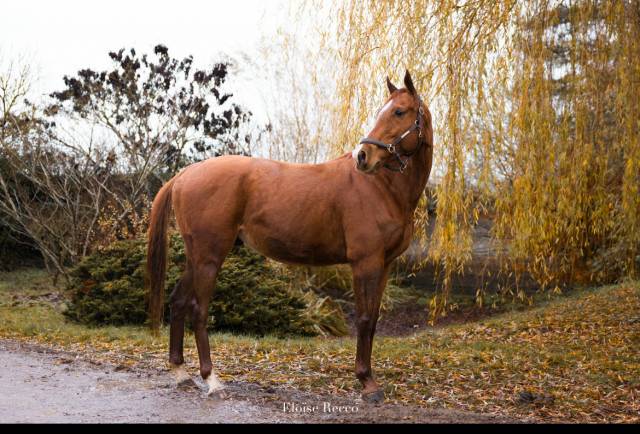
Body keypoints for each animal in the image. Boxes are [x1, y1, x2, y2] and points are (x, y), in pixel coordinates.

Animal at [146, 70, 434, 403]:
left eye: (399, 112)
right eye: (384, 112)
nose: (363, 156)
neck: (382, 188)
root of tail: (184, 175)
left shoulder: (384, 265)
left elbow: (372, 319)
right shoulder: (365, 263)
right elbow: (363, 319)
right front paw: (368, 384)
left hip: (195, 257)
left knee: (178, 302)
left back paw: (181, 373)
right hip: (209, 257)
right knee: (198, 309)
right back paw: (212, 379)